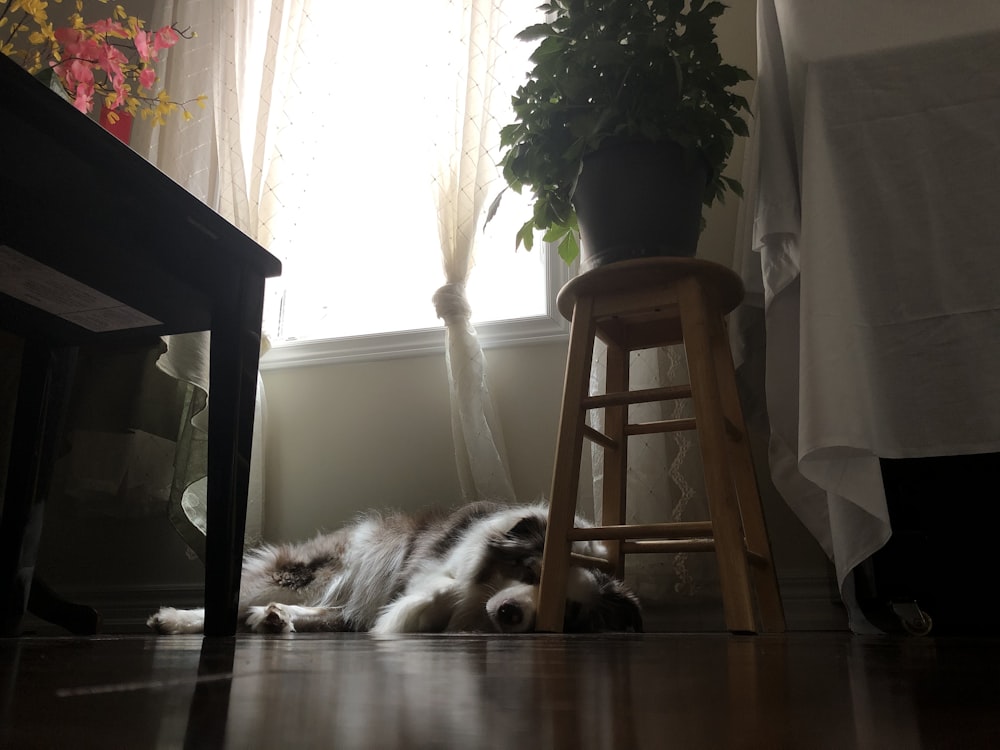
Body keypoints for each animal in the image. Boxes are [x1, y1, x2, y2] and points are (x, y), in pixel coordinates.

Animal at [150, 502, 648, 636]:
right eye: (530, 574)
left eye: (569, 613)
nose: (510, 613)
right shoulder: (439, 568)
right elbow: (439, 588)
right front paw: (408, 615)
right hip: (315, 575)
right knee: (236, 600)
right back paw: (173, 619)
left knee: (331, 615)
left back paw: (274, 620)